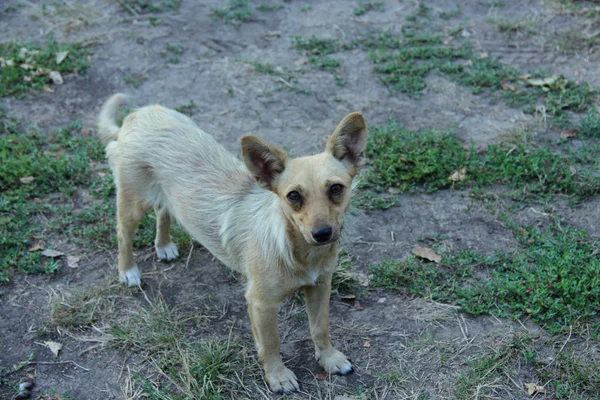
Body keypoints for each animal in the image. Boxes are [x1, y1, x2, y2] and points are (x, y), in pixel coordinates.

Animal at [96, 94, 368, 394]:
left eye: (336, 189)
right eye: (293, 196)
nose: (322, 233)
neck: (297, 250)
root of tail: (136, 115)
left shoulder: (320, 287)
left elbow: (320, 327)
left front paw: (329, 358)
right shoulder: (261, 303)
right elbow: (272, 343)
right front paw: (278, 375)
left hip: (164, 195)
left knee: (163, 210)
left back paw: (164, 245)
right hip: (132, 203)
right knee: (123, 234)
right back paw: (128, 271)